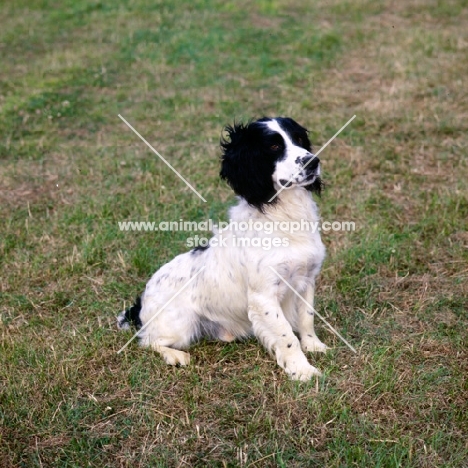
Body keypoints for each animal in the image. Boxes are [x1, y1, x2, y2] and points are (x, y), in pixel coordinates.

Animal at [119, 116, 328, 380]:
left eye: (299, 139)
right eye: (273, 146)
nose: (313, 161)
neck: (284, 216)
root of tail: (140, 304)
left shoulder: (306, 279)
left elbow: (306, 319)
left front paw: (314, 346)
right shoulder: (264, 296)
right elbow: (286, 336)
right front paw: (302, 370)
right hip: (181, 324)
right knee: (148, 340)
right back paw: (175, 356)